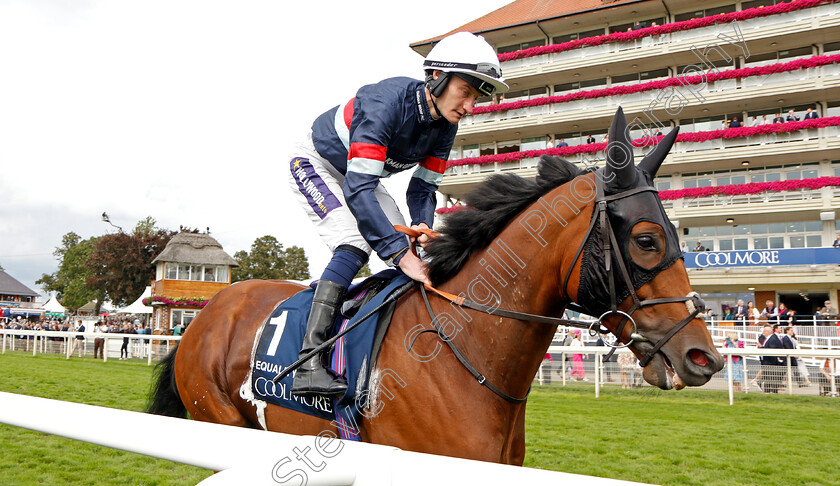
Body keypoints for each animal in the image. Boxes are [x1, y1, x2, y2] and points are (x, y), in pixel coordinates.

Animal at [149, 108, 720, 466]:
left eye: (681, 240)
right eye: (646, 240)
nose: (704, 357)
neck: (462, 349)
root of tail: (206, 314)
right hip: (219, 417)